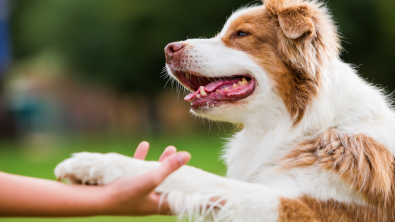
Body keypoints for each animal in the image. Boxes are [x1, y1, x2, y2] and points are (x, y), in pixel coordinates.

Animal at [54, 0, 395, 221]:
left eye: (241, 34)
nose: (168, 49)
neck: (306, 124)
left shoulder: (306, 207)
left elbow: (197, 176)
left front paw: (96, 163)